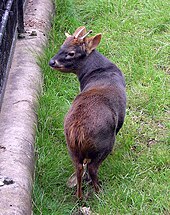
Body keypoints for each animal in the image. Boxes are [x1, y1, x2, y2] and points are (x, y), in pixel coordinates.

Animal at [49, 26, 126, 199]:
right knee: (91, 168)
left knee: (78, 168)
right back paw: (98, 192)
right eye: (62, 47)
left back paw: (79, 196)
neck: (101, 72)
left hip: (71, 148)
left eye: (70, 52)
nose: (51, 62)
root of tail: (77, 132)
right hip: (104, 143)